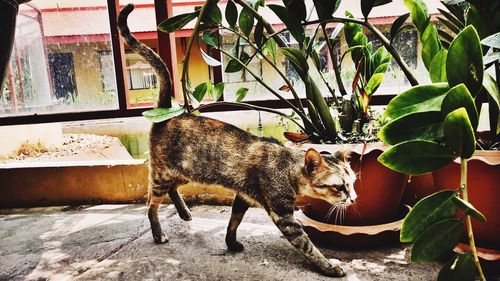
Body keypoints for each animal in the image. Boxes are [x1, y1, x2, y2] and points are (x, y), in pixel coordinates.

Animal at [118, 4, 358, 276]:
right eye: (339, 187)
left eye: (352, 183)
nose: (353, 198)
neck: (286, 167)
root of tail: (167, 114)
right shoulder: (284, 216)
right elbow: (307, 245)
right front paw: (328, 266)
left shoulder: (242, 198)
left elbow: (234, 221)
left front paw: (230, 243)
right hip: (162, 174)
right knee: (151, 204)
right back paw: (158, 233)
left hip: (184, 172)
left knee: (173, 190)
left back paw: (184, 213)